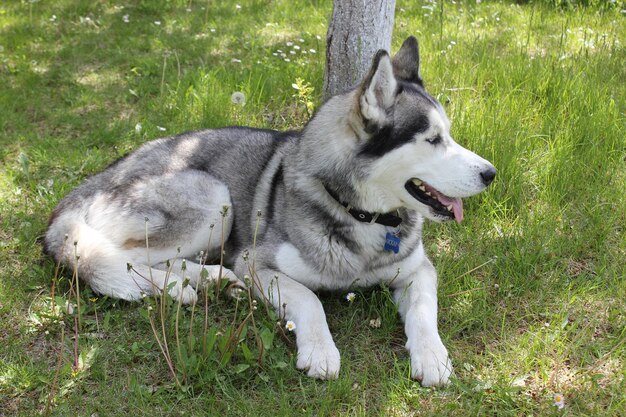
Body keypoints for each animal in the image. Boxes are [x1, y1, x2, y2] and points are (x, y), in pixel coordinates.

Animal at [42, 37, 492, 386]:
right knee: (121, 259)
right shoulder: (257, 263)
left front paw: (432, 356)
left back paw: (212, 280)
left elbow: (424, 311)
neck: (361, 215)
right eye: (432, 139)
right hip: (212, 198)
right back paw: (185, 284)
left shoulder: (418, 270)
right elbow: (309, 298)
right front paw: (320, 350)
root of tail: (98, 178)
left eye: (450, 135)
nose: (490, 173)